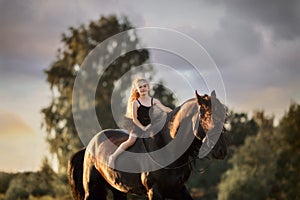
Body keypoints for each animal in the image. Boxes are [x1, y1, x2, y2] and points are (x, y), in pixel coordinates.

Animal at [68, 91, 227, 200]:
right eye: (208, 116)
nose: (222, 151)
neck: (167, 147)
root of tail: (89, 147)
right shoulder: (154, 192)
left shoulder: (179, 190)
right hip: (92, 191)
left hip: (118, 190)